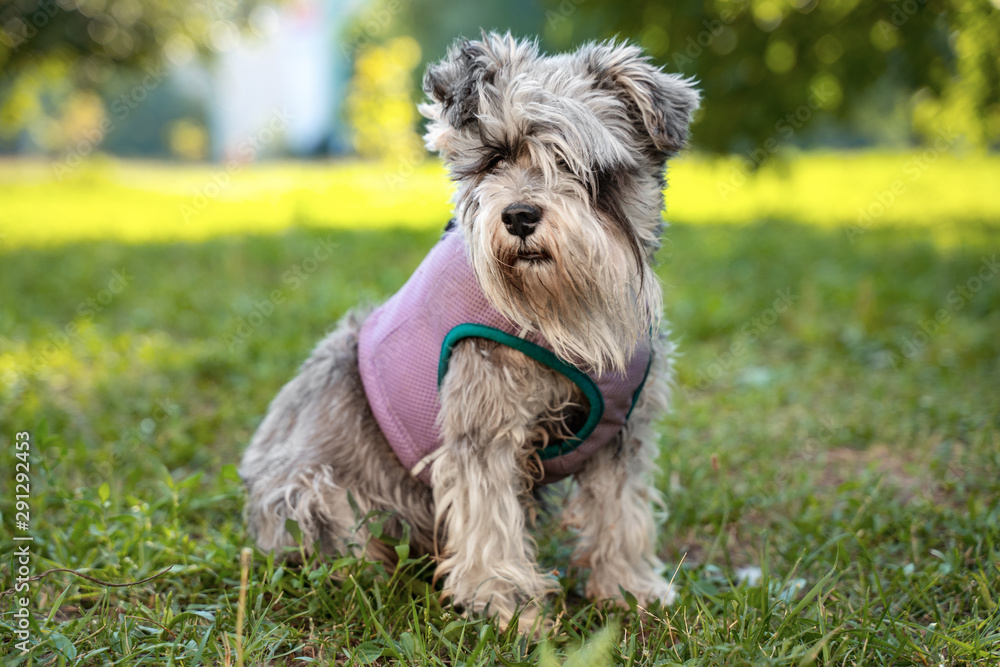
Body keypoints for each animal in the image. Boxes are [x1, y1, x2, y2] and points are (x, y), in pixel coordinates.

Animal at [238, 32, 700, 632]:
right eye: (496, 156)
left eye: (576, 162)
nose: (520, 216)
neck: (562, 314)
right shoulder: (484, 426)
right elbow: (490, 519)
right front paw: (505, 602)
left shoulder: (625, 432)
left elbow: (620, 511)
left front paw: (628, 586)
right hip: (311, 492)